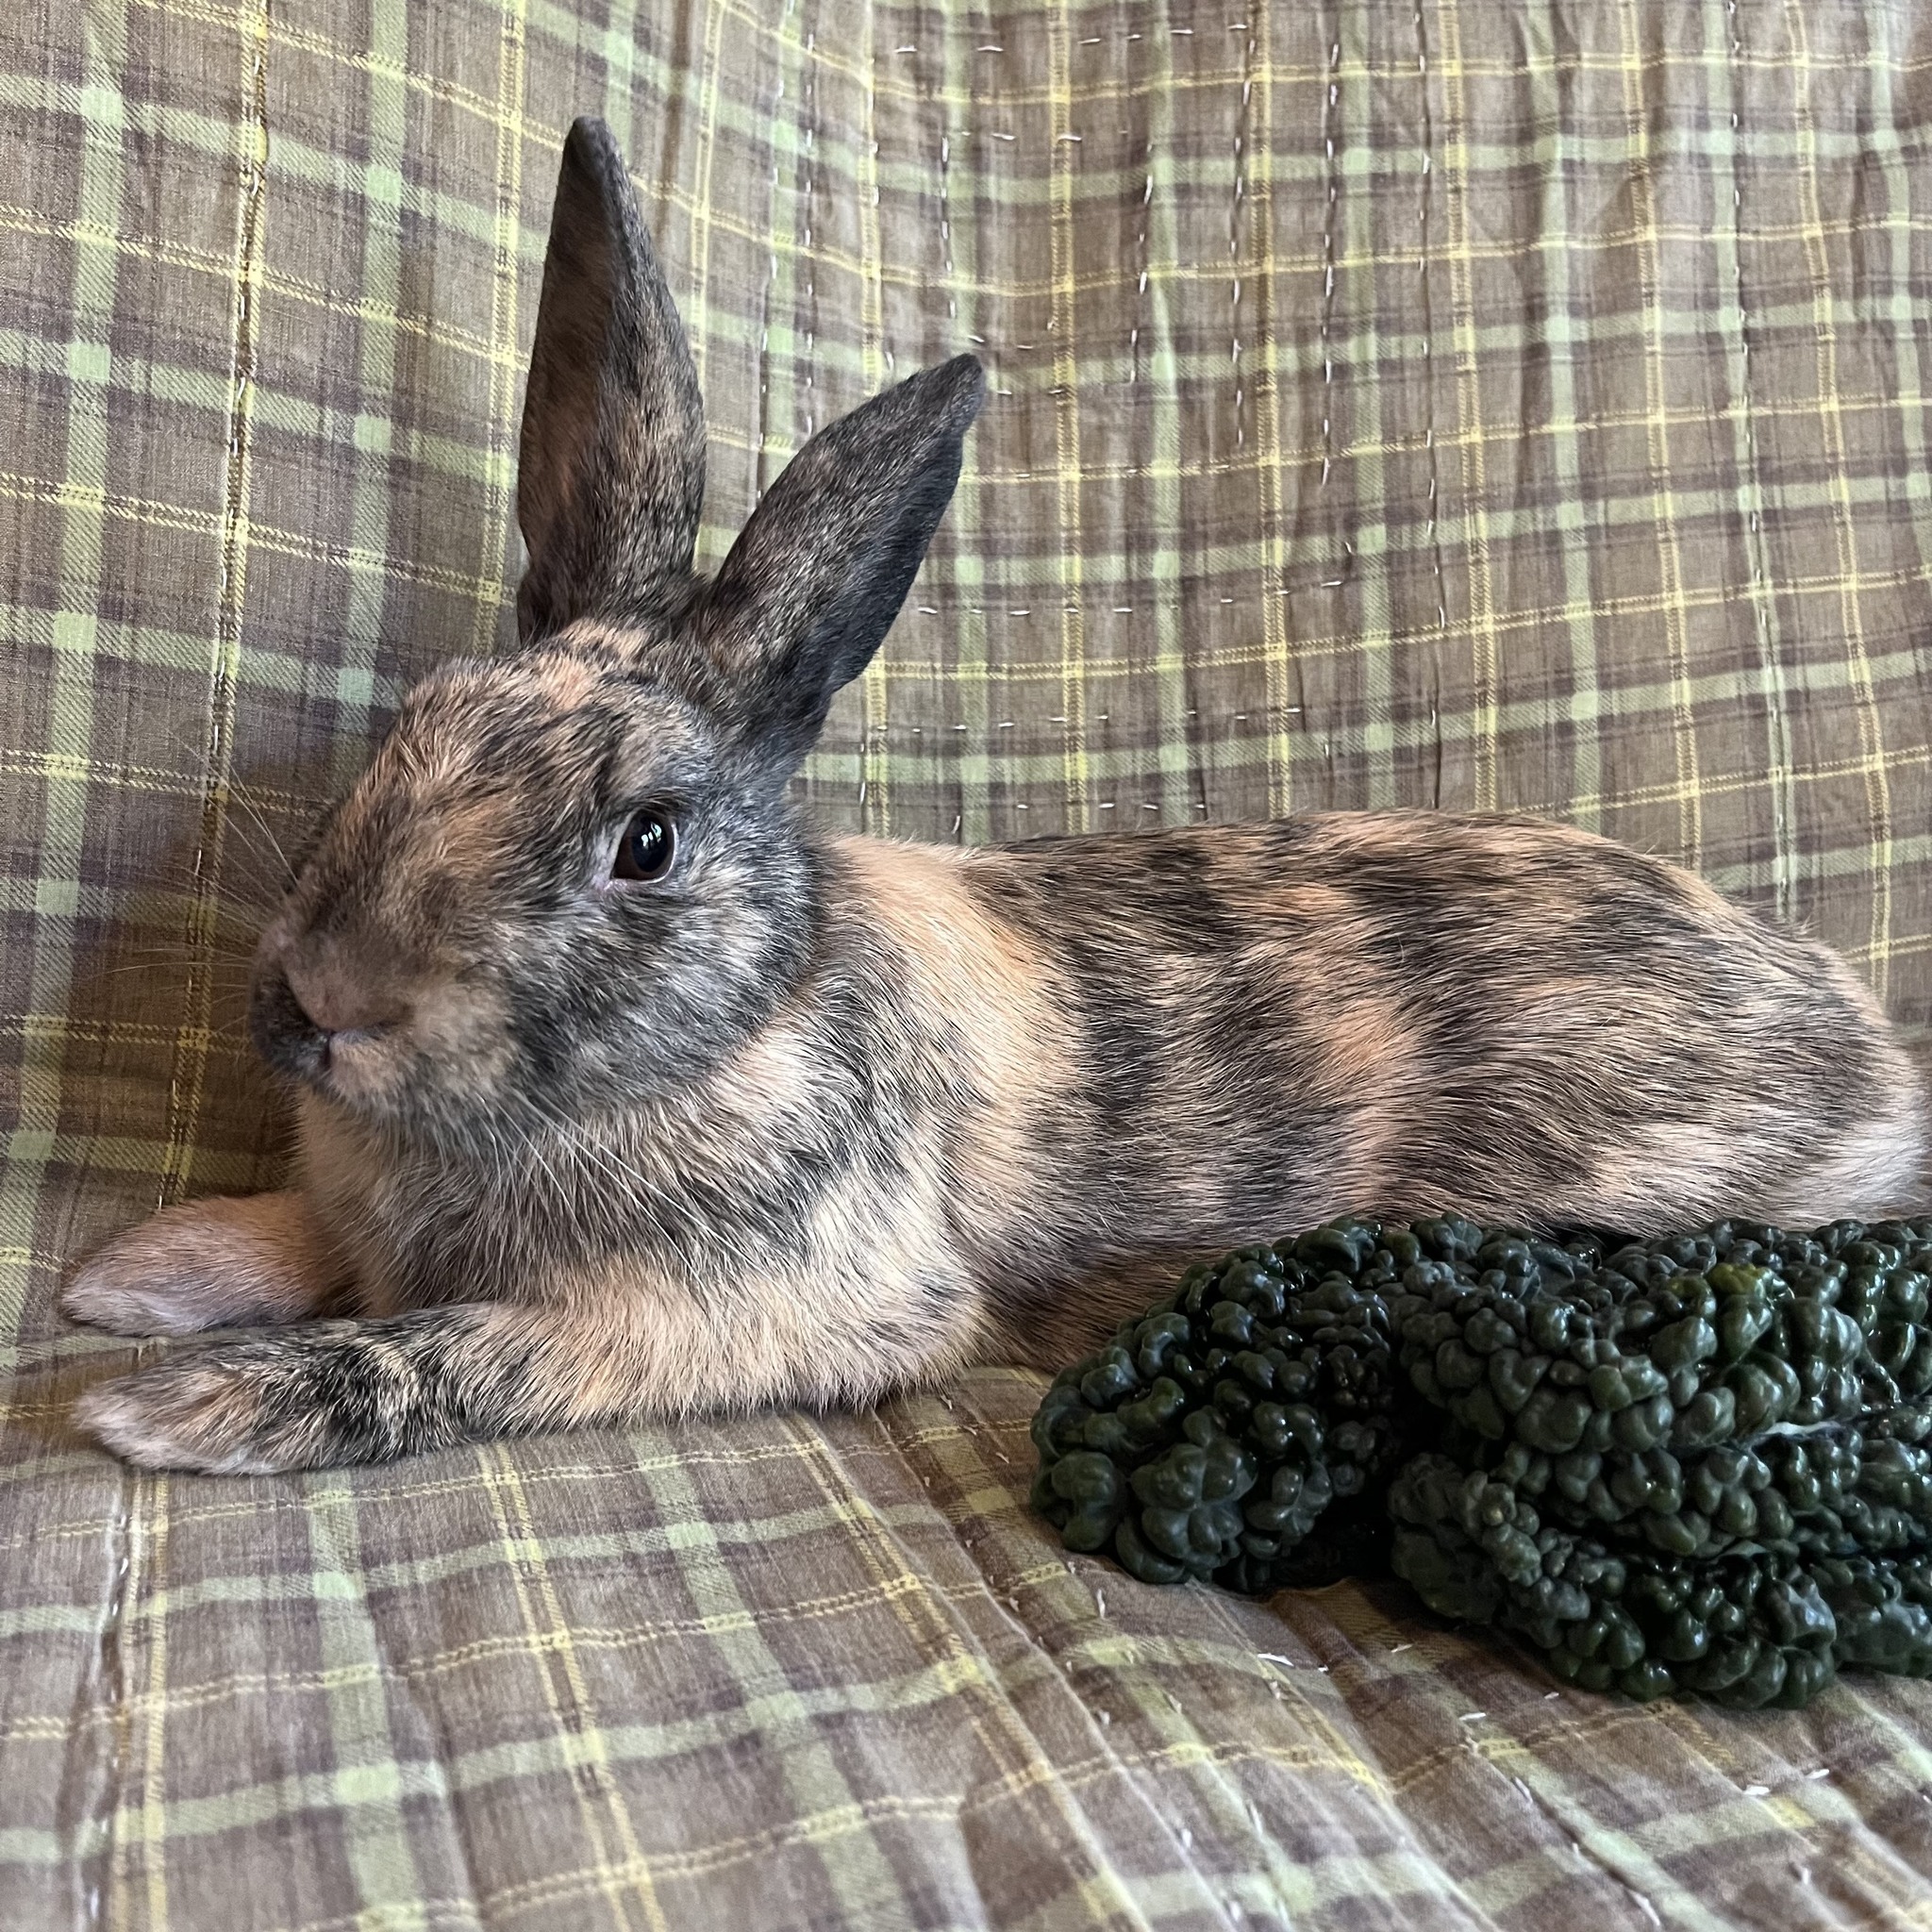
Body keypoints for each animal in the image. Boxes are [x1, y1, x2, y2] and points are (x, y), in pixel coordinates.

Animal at [64, 116, 1928, 1475]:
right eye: (419, 718)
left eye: (646, 842)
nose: (321, 1000)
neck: (739, 1018)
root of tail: (1866, 1050)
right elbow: (304, 1230)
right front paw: (137, 1277)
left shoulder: (755, 1304)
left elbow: (445, 1352)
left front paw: (168, 1406)